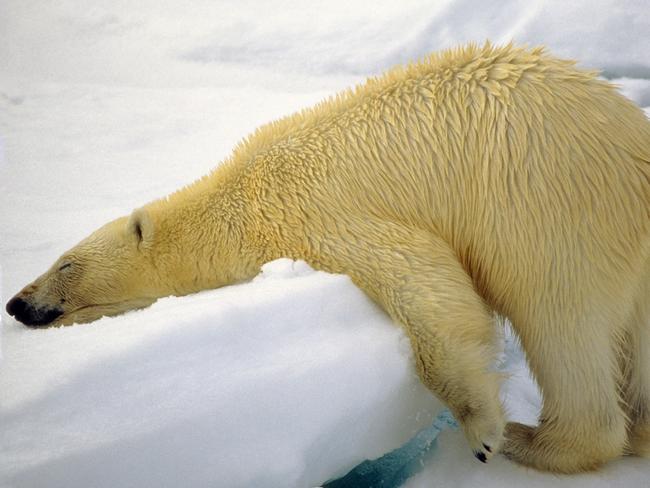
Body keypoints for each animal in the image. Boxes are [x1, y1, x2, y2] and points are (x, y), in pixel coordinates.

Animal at [6, 43, 648, 470]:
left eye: (64, 264)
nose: (16, 303)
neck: (239, 198)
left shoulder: (317, 214)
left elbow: (427, 287)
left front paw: (484, 429)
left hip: (551, 212)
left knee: (559, 319)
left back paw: (535, 441)